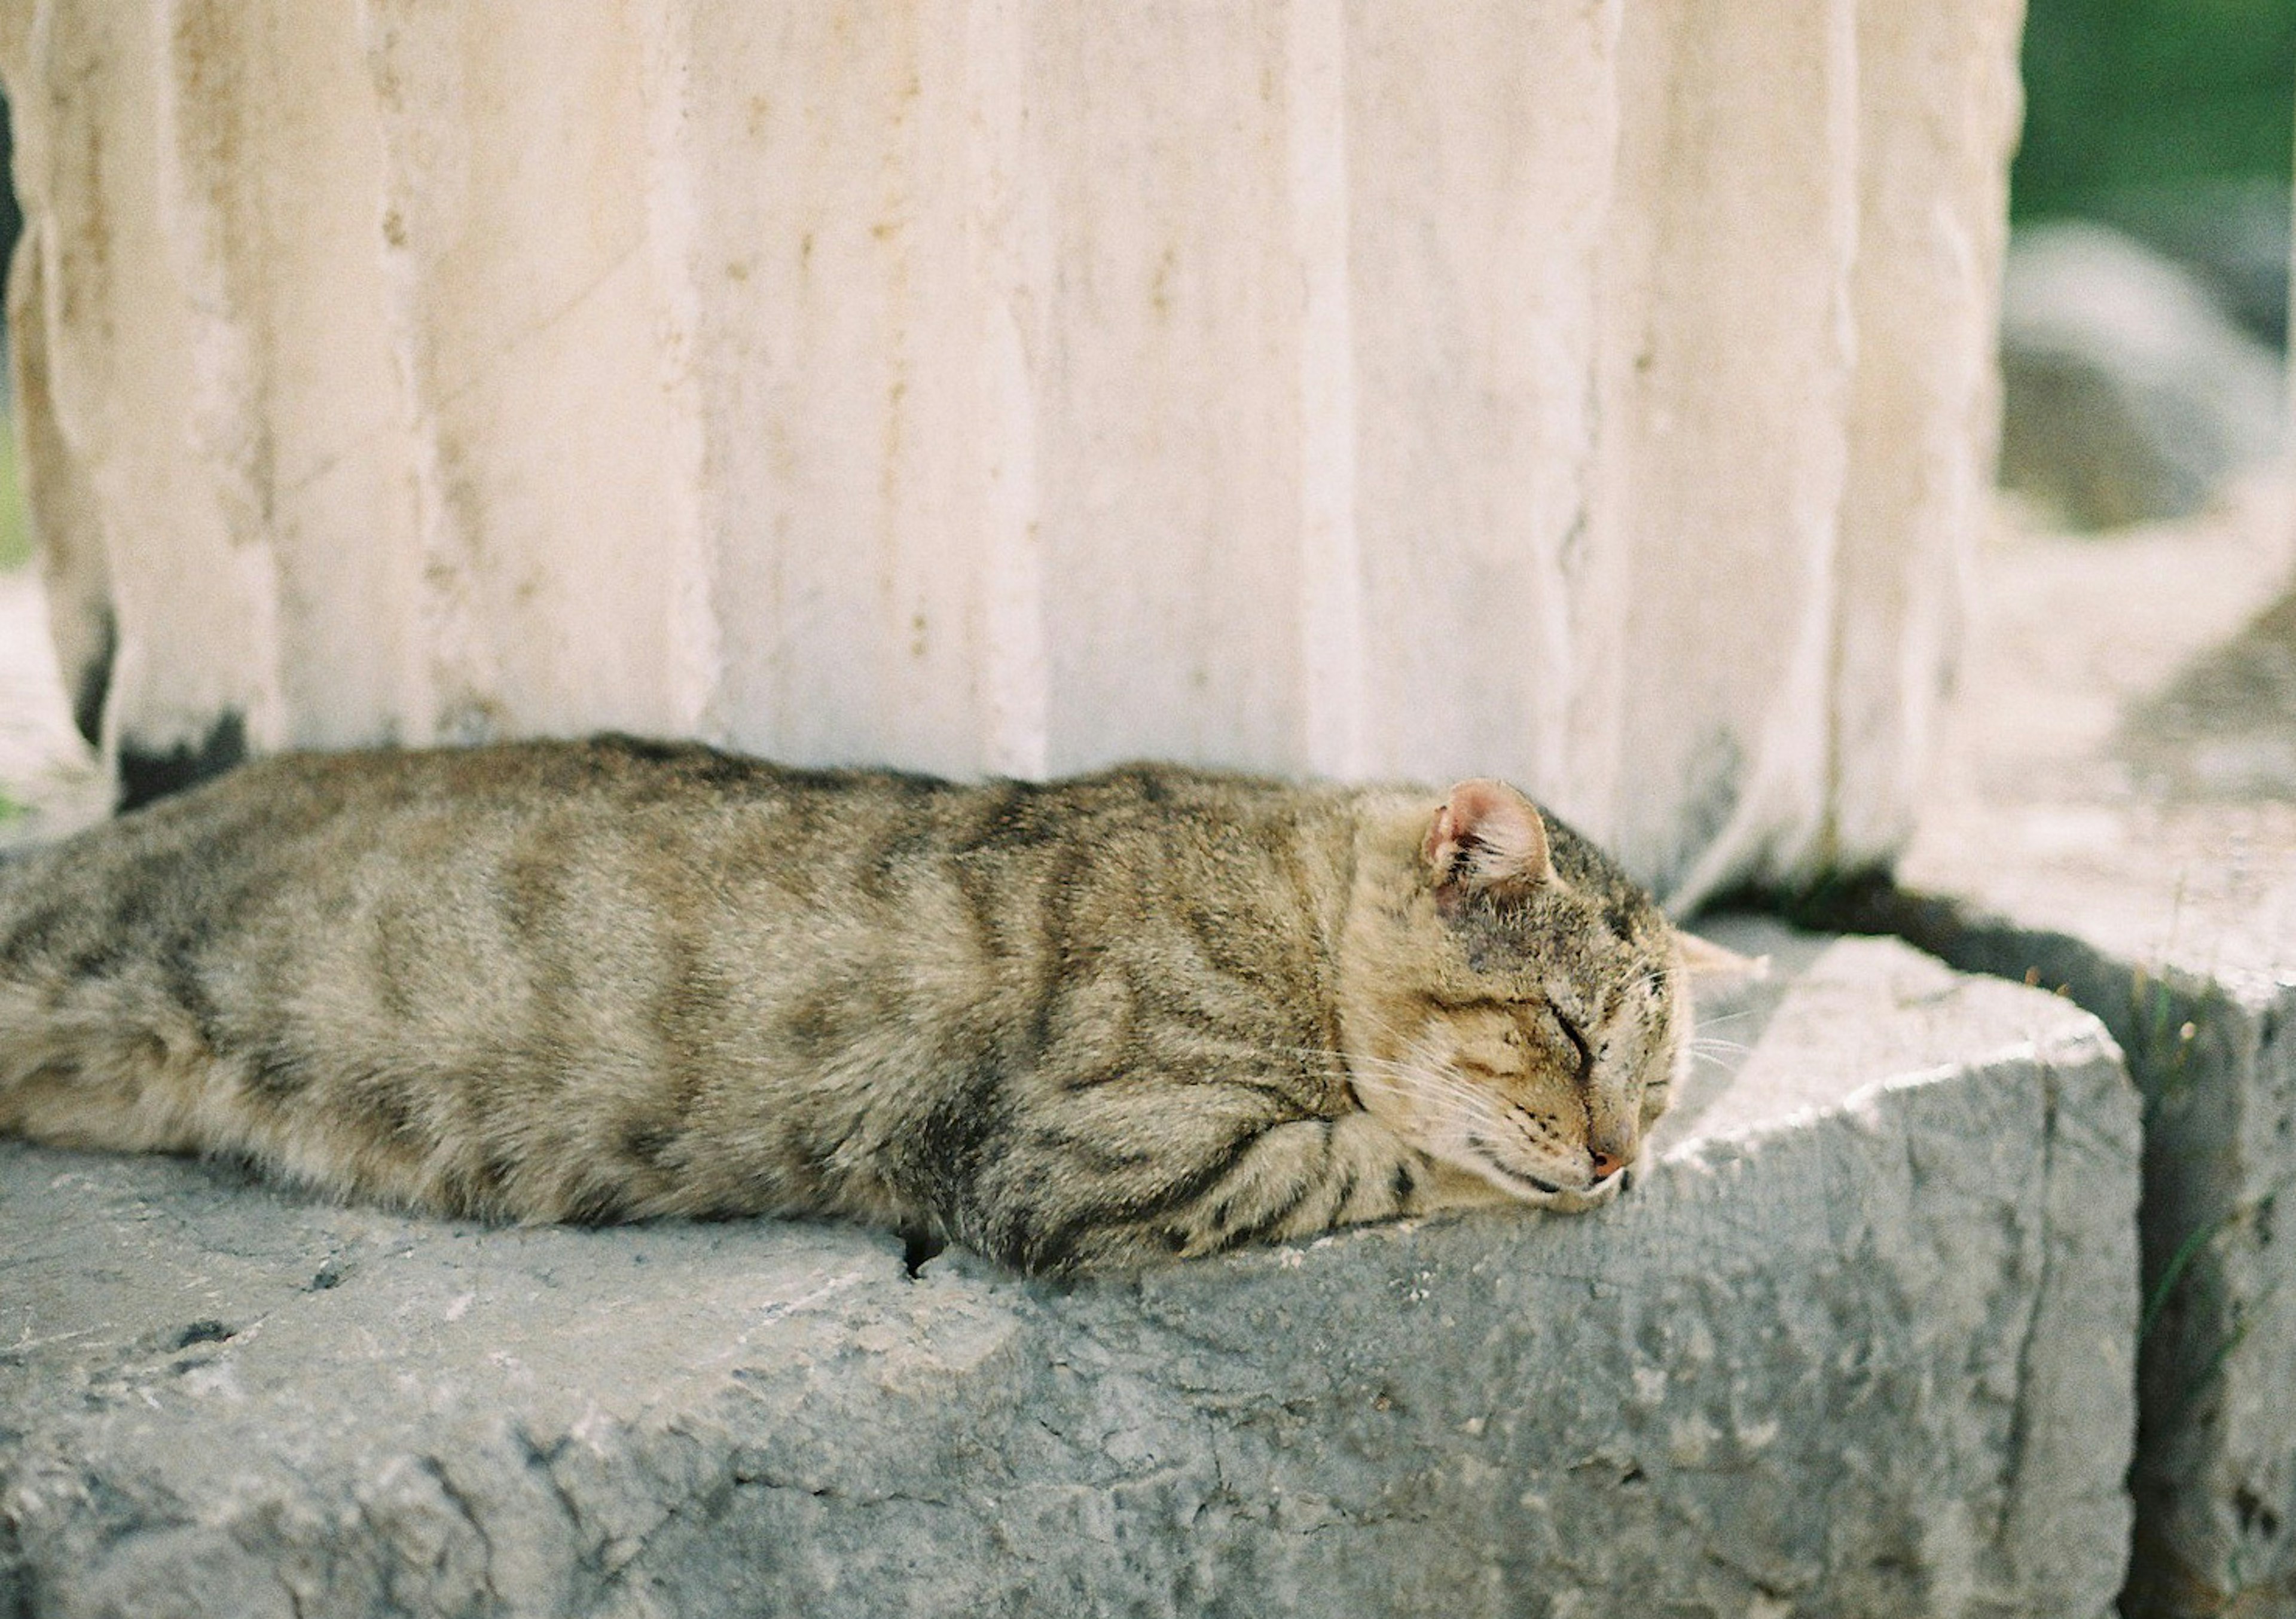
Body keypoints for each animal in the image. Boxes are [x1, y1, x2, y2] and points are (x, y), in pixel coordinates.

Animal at [0, 735, 1726, 1276]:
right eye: (1571, 1032)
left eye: (1654, 1081)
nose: (1620, 1154)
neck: (1279, 895)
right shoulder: (1084, 1159)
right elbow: (1383, 1148)